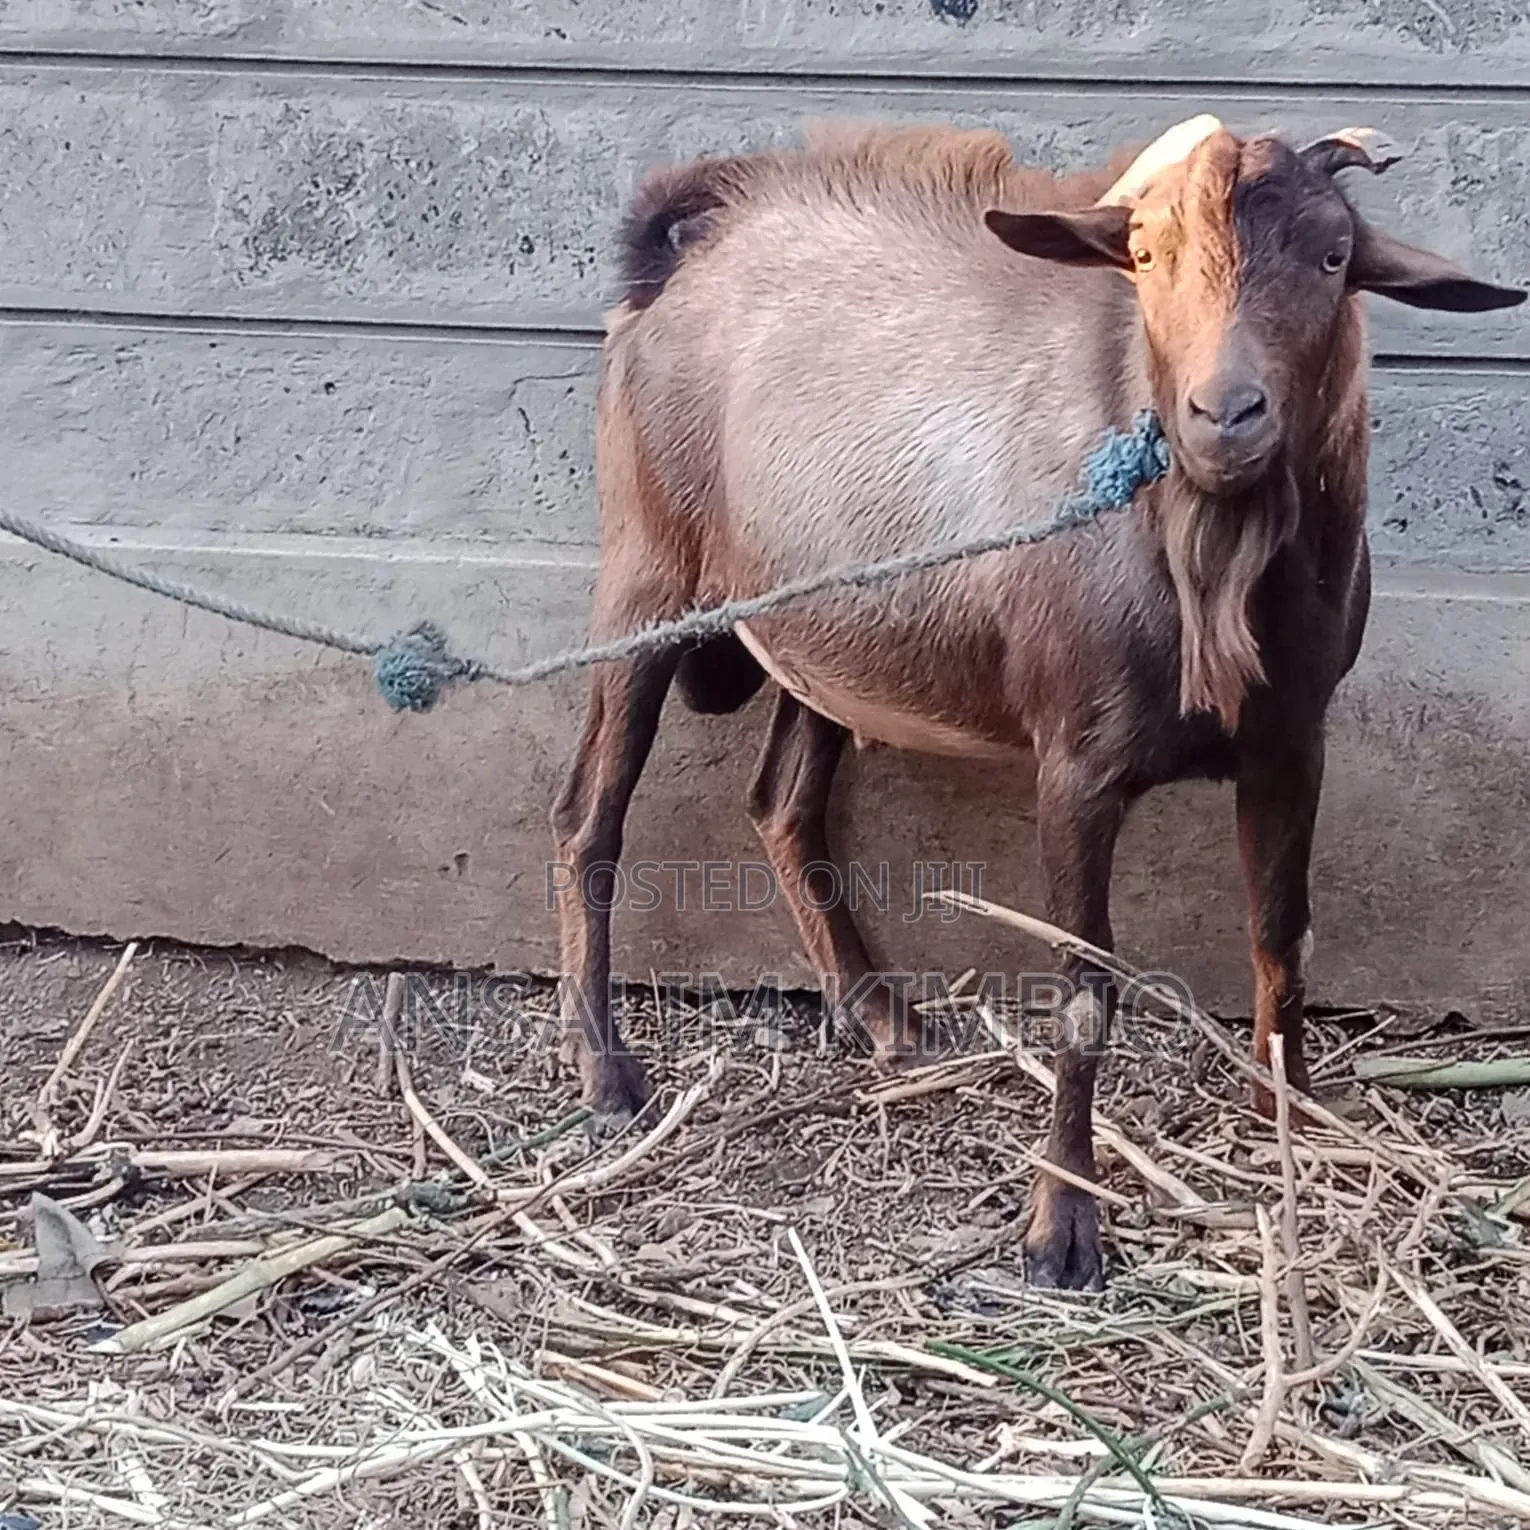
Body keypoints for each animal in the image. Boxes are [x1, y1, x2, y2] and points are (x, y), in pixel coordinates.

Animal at [551, 117, 1524, 1288]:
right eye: (1143, 255)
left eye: (1337, 256)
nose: (1225, 417)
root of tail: (680, 257)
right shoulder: (1076, 761)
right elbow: (1083, 983)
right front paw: (1061, 1225)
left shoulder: (1294, 739)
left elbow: (1281, 932)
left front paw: (1283, 1113)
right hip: (645, 576)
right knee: (590, 814)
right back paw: (607, 1074)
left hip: (823, 633)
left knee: (782, 801)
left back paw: (879, 1015)